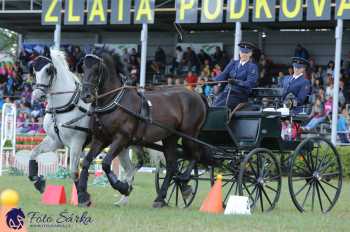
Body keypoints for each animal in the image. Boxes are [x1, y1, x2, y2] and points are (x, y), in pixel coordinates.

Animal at [28, 49, 137, 205]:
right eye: (34, 70)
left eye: (48, 70)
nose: (37, 96)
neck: (64, 106)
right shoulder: (55, 141)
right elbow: (33, 153)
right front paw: (38, 181)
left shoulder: (76, 142)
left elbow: (74, 171)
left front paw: (83, 197)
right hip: (121, 146)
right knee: (130, 169)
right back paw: (123, 198)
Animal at [77, 50, 206, 207]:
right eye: (83, 68)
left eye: (97, 69)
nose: (86, 95)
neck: (114, 100)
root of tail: (197, 95)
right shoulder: (101, 138)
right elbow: (86, 162)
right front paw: (83, 196)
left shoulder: (121, 138)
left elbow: (106, 163)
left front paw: (123, 187)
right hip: (170, 137)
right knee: (171, 166)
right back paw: (161, 198)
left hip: (189, 134)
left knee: (196, 155)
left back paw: (184, 181)